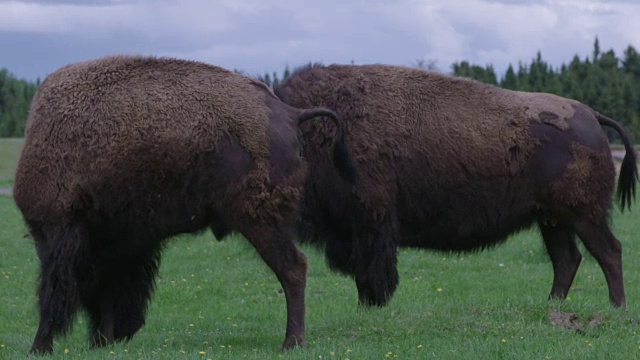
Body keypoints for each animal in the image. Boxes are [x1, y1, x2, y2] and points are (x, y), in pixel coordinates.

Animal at [12, 55, 358, 354]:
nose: (122, 334)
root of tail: (289, 114)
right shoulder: (115, 244)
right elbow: (106, 292)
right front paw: (102, 341)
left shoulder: (59, 232)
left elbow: (53, 293)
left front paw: (39, 347)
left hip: (260, 221)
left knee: (293, 268)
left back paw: (291, 342)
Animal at [274, 63, 636, 308]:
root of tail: (591, 114)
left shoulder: (369, 227)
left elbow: (369, 275)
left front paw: (371, 307)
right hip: (552, 220)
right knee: (568, 259)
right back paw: (552, 304)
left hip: (583, 215)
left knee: (609, 251)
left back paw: (615, 306)